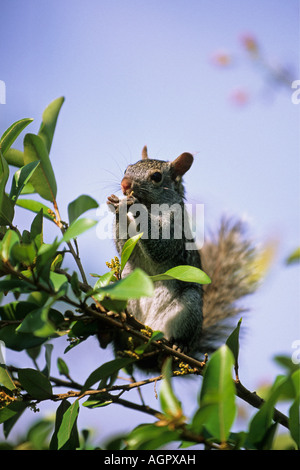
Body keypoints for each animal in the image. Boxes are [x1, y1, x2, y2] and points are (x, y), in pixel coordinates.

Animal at [104, 145, 258, 370]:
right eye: (127, 168)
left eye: (156, 177)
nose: (125, 185)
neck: (150, 206)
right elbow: (124, 247)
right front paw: (117, 206)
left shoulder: (175, 225)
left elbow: (161, 246)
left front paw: (129, 204)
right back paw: (112, 320)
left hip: (189, 308)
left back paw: (179, 347)